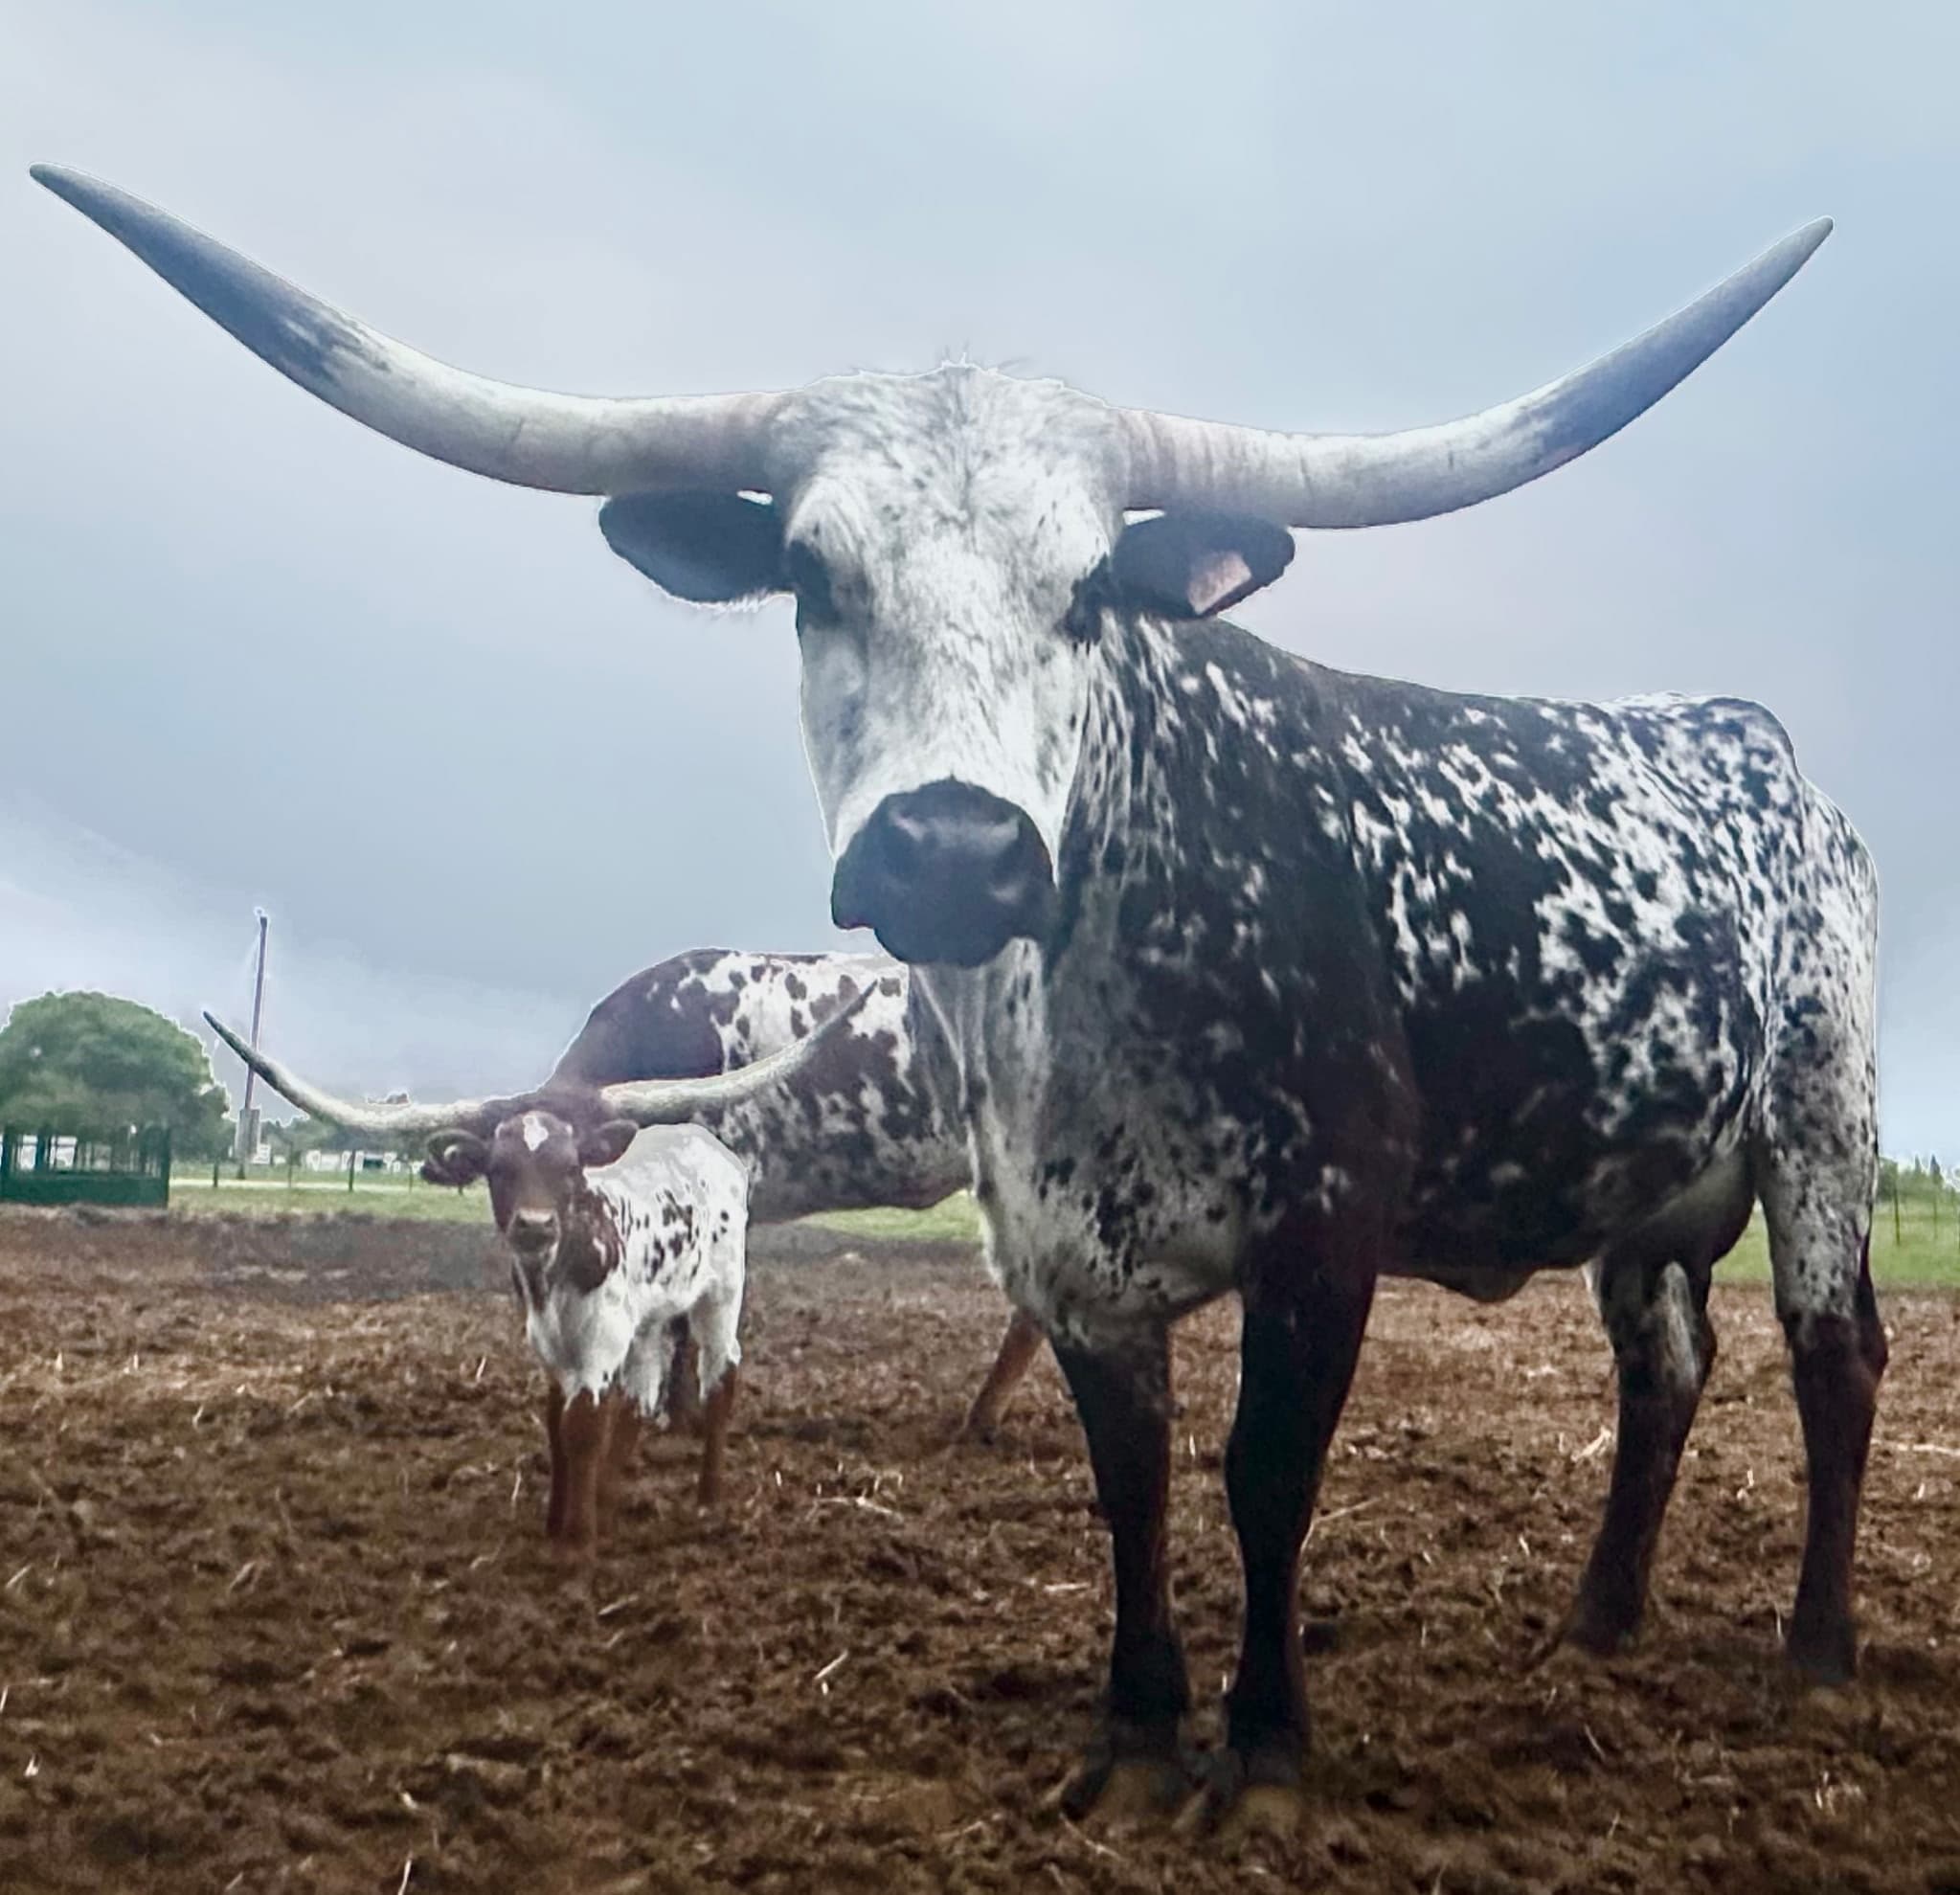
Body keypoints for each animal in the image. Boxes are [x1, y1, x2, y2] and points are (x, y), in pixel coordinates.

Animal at [38, 166, 1878, 1839]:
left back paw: (1816, 1647)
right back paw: (1596, 1622)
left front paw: (1263, 1753)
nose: (949, 847)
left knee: (1831, 1357)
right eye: (807, 575)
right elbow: (1130, 1482)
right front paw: (1130, 1733)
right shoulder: (1061, 1249)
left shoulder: (1324, 1226)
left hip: (1822, 1134)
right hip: (1646, 1188)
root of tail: (1745, 738)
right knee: (1666, 1366)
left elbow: (1262, 1477)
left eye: (1089, 589)